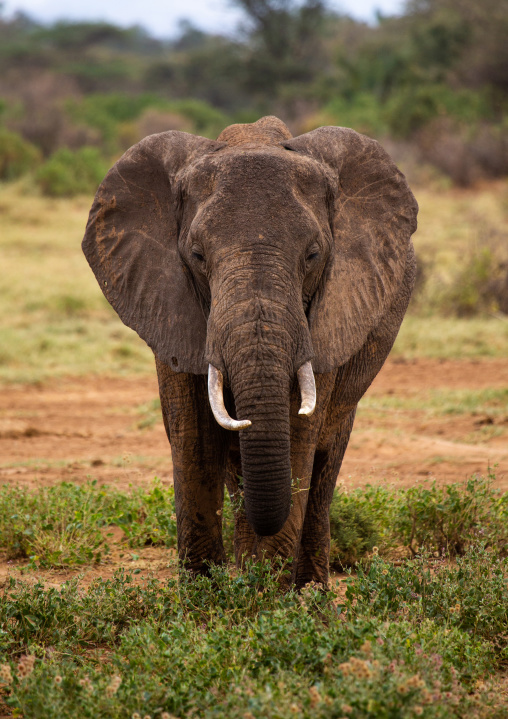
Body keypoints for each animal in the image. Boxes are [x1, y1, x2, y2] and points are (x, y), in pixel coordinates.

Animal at [82, 115, 418, 588]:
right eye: (197, 255)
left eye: (313, 255)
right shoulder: (167, 302)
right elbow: (195, 439)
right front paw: (208, 597)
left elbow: (298, 435)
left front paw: (262, 595)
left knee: (326, 460)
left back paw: (309, 592)